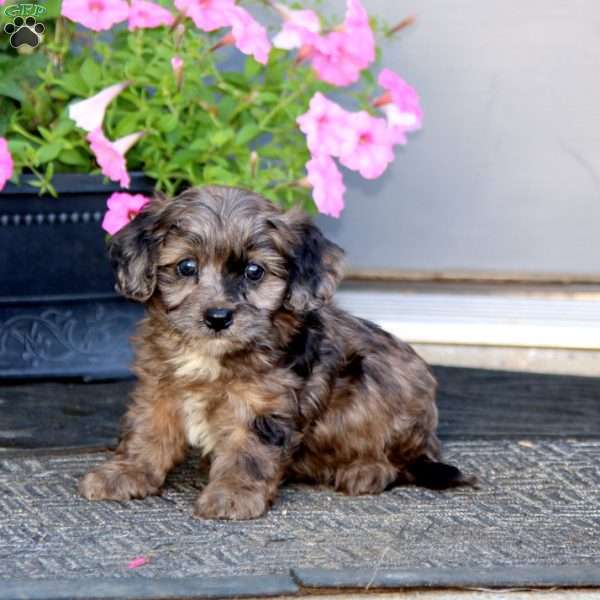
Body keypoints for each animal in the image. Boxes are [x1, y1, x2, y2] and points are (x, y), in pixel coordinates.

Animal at [78, 185, 474, 516]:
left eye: (254, 271)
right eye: (186, 266)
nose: (218, 317)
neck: (212, 356)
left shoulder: (262, 406)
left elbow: (248, 452)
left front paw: (234, 494)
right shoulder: (159, 390)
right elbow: (147, 432)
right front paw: (127, 473)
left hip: (383, 381)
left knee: (400, 460)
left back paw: (366, 470)